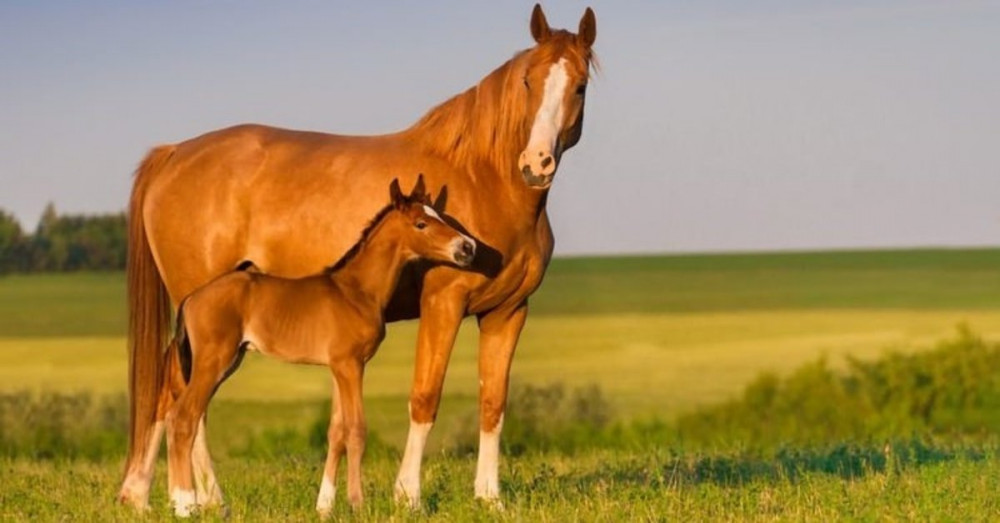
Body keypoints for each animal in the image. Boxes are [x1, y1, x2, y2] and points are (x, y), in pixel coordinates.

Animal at [159, 179, 476, 516]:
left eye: (440, 215)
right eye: (421, 223)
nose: (467, 248)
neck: (356, 291)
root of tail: (191, 299)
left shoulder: (339, 367)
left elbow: (337, 431)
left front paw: (325, 507)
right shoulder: (351, 365)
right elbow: (356, 430)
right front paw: (357, 504)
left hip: (226, 362)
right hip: (213, 361)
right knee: (182, 418)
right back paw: (184, 505)